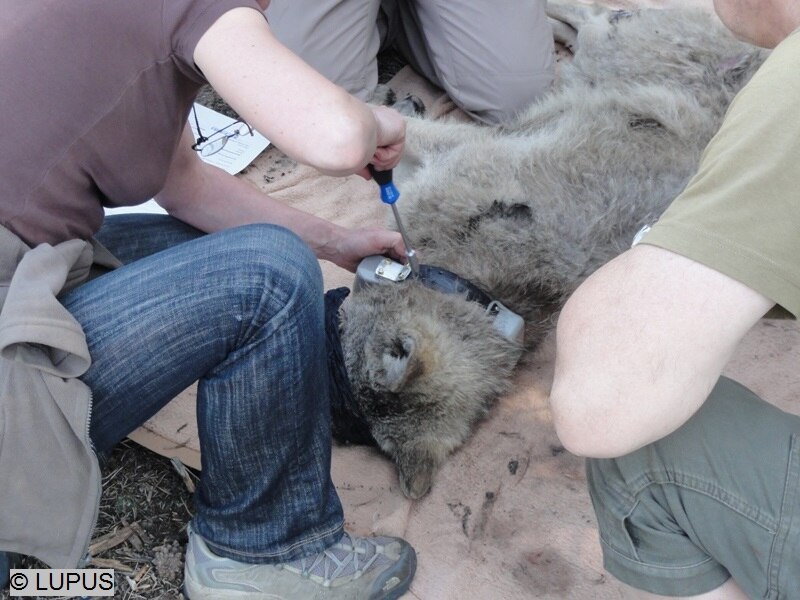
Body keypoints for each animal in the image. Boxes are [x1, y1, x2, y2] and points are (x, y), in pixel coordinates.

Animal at [332, 2, 768, 500]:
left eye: (338, 332)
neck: (478, 290)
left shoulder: (465, 150)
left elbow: (407, 136)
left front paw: (368, 111)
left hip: (614, 51)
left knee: (593, 16)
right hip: (605, 57)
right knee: (588, 21)